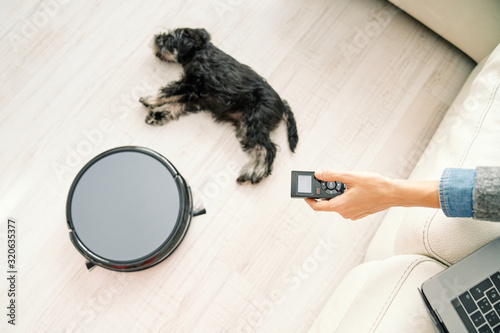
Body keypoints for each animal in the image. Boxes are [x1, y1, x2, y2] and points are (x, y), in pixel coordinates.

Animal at [139, 27, 298, 184]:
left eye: (170, 38)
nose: (157, 37)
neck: (199, 50)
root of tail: (282, 104)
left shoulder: (191, 85)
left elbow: (168, 91)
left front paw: (149, 98)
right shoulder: (196, 98)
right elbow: (176, 105)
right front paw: (158, 115)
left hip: (253, 124)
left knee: (269, 149)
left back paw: (255, 172)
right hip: (246, 127)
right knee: (260, 149)